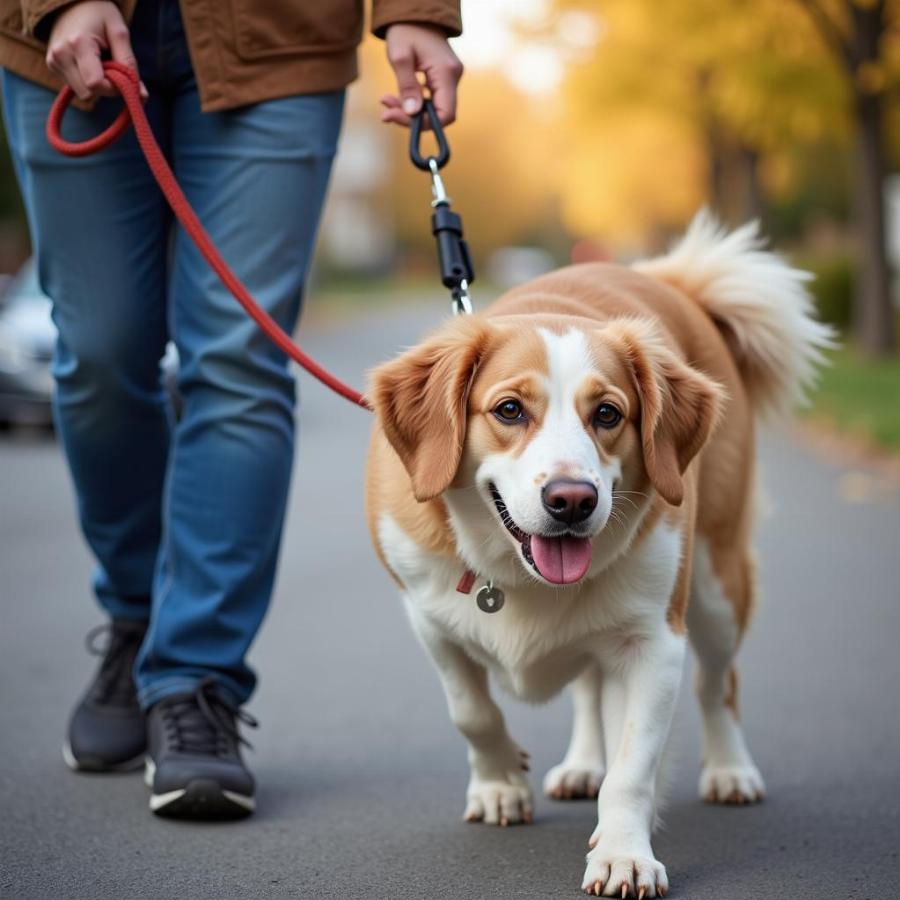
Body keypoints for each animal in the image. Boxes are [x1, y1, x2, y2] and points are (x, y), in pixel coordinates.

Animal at [362, 214, 832, 896]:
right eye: (509, 409)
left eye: (608, 413)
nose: (572, 501)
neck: (512, 569)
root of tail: (674, 284)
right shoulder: (429, 621)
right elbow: (471, 711)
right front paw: (501, 782)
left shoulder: (653, 644)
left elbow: (632, 769)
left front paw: (622, 853)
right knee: (586, 686)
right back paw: (584, 764)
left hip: (718, 587)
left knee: (719, 682)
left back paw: (729, 769)